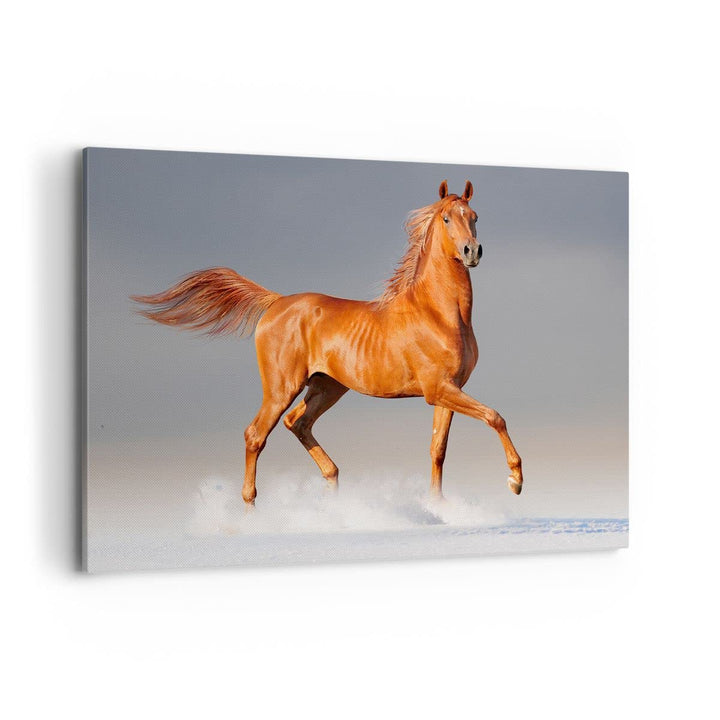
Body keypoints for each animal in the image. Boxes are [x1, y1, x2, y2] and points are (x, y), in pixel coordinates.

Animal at [132, 180, 523, 506]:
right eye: (446, 218)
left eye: (474, 216)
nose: (472, 251)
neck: (439, 313)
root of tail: (276, 303)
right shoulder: (437, 389)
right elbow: (495, 416)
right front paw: (515, 480)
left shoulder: (449, 390)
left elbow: (438, 450)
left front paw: (438, 505)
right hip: (282, 387)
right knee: (256, 434)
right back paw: (251, 507)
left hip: (327, 386)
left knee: (298, 423)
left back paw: (333, 490)